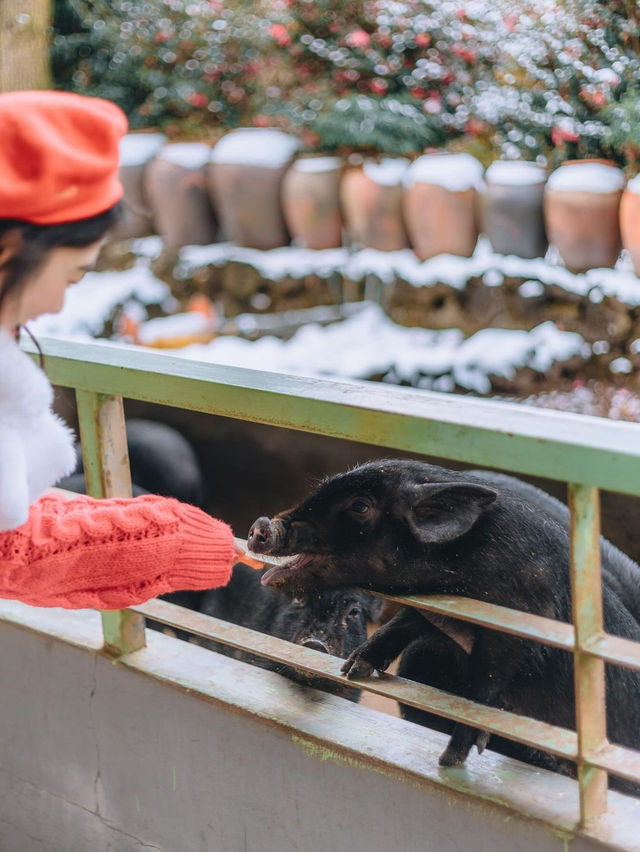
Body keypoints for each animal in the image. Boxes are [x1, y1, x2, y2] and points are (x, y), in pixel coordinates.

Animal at [249, 460, 640, 792]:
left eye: (360, 506)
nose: (262, 526)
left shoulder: (518, 626)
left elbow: (484, 686)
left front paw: (449, 760)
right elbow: (407, 622)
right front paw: (353, 667)